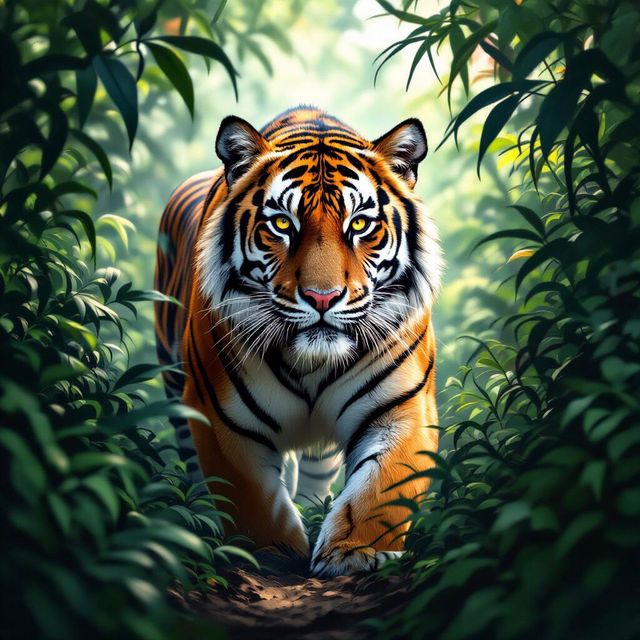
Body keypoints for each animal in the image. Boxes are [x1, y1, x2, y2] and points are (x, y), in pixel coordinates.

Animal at [154, 106, 442, 577]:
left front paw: (353, 552)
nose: (322, 297)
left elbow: (380, 489)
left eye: (359, 223)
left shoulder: (403, 409)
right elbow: (251, 498)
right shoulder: (219, 415)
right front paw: (271, 554)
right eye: (282, 224)